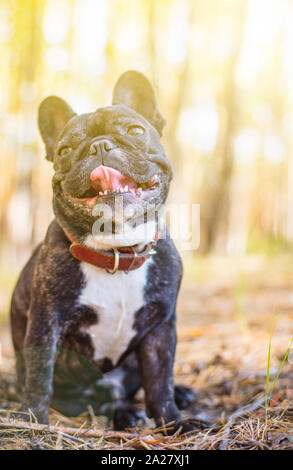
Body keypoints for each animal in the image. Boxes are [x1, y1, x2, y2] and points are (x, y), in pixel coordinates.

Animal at [9, 70, 196, 434]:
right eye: (65, 149)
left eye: (135, 131)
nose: (99, 146)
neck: (117, 252)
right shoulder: (46, 322)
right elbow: (40, 377)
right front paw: (33, 419)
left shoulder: (160, 328)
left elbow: (160, 381)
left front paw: (173, 423)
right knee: (101, 399)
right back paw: (123, 414)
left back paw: (178, 395)